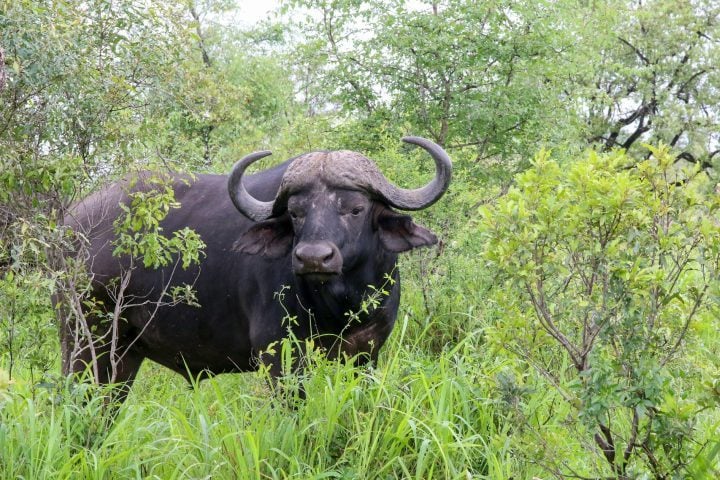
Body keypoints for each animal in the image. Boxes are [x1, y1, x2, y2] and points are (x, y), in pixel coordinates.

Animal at [60, 137, 451, 399]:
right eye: (295, 212)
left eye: (355, 208)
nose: (313, 257)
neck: (340, 304)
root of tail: (72, 224)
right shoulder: (279, 356)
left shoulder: (367, 353)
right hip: (84, 343)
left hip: (124, 356)